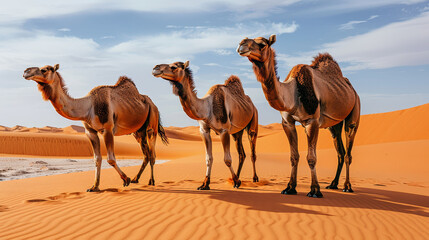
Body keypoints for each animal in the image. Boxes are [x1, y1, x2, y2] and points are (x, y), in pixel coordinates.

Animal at [22, 63, 167, 191]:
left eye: (46, 69)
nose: (26, 71)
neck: (87, 107)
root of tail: (153, 104)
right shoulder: (90, 132)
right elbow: (97, 159)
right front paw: (94, 187)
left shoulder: (107, 129)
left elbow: (110, 159)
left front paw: (126, 179)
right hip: (138, 131)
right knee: (146, 154)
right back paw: (137, 179)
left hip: (152, 123)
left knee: (152, 154)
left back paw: (151, 181)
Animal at [153, 61, 258, 190]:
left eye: (174, 67)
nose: (155, 68)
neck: (207, 108)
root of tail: (251, 104)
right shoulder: (204, 130)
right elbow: (208, 158)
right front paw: (205, 184)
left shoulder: (224, 131)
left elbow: (227, 159)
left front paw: (236, 181)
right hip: (237, 132)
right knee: (241, 154)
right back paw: (237, 179)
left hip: (253, 121)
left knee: (252, 151)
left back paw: (254, 178)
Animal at [236, 35, 360, 197]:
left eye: (262, 44)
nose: (241, 44)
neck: (293, 92)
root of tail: (352, 89)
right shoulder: (287, 122)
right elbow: (294, 156)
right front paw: (289, 188)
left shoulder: (312, 121)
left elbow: (311, 158)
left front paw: (315, 190)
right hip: (334, 124)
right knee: (340, 151)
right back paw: (333, 184)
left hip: (354, 110)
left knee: (348, 152)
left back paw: (347, 186)